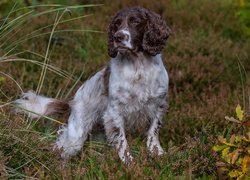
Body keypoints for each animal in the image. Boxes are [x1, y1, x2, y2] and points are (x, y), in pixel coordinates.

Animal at [14, 6, 171, 164]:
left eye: (135, 22)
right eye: (116, 24)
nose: (118, 37)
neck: (138, 67)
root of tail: (72, 102)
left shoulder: (159, 104)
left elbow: (153, 131)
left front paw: (157, 153)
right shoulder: (115, 111)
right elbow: (122, 140)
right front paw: (128, 162)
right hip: (76, 134)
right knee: (62, 149)